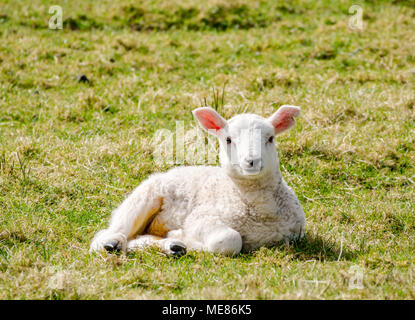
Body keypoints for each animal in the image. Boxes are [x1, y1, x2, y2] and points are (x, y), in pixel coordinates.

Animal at [90, 105, 306, 255]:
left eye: (270, 138)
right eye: (228, 140)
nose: (252, 161)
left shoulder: (295, 233)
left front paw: (177, 241)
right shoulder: (201, 219)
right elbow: (230, 240)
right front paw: (183, 238)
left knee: (137, 239)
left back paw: (171, 247)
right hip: (141, 201)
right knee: (107, 235)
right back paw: (112, 244)